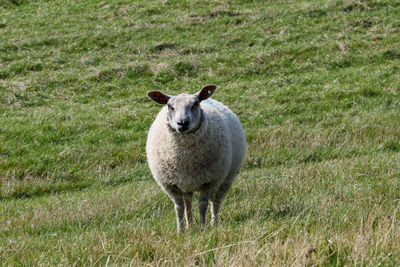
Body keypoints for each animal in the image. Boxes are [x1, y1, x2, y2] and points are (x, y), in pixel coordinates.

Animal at [146, 85, 245, 233]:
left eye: (195, 104)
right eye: (170, 106)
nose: (182, 123)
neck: (186, 158)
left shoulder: (209, 181)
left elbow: (202, 204)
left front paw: (202, 226)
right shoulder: (170, 184)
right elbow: (179, 207)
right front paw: (180, 231)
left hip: (225, 180)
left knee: (216, 201)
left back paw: (213, 223)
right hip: (186, 184)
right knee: (188, 203)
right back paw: (190, 225)